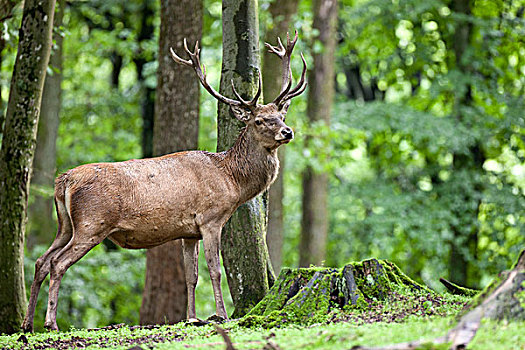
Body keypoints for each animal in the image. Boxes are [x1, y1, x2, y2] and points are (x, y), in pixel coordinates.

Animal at [21, 33, 308, 334]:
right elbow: (214, 270)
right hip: (92, 223)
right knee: (57, 263)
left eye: (282, 116)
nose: (287, 131)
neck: (231, 179)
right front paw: (221, 315)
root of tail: (64, 181)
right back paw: (50, 322)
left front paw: (192, 317)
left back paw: (27, 323)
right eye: (260, 120)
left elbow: (191, 276)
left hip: (65, 224)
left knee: (41, 261)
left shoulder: (189, 231)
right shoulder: (211, 218)